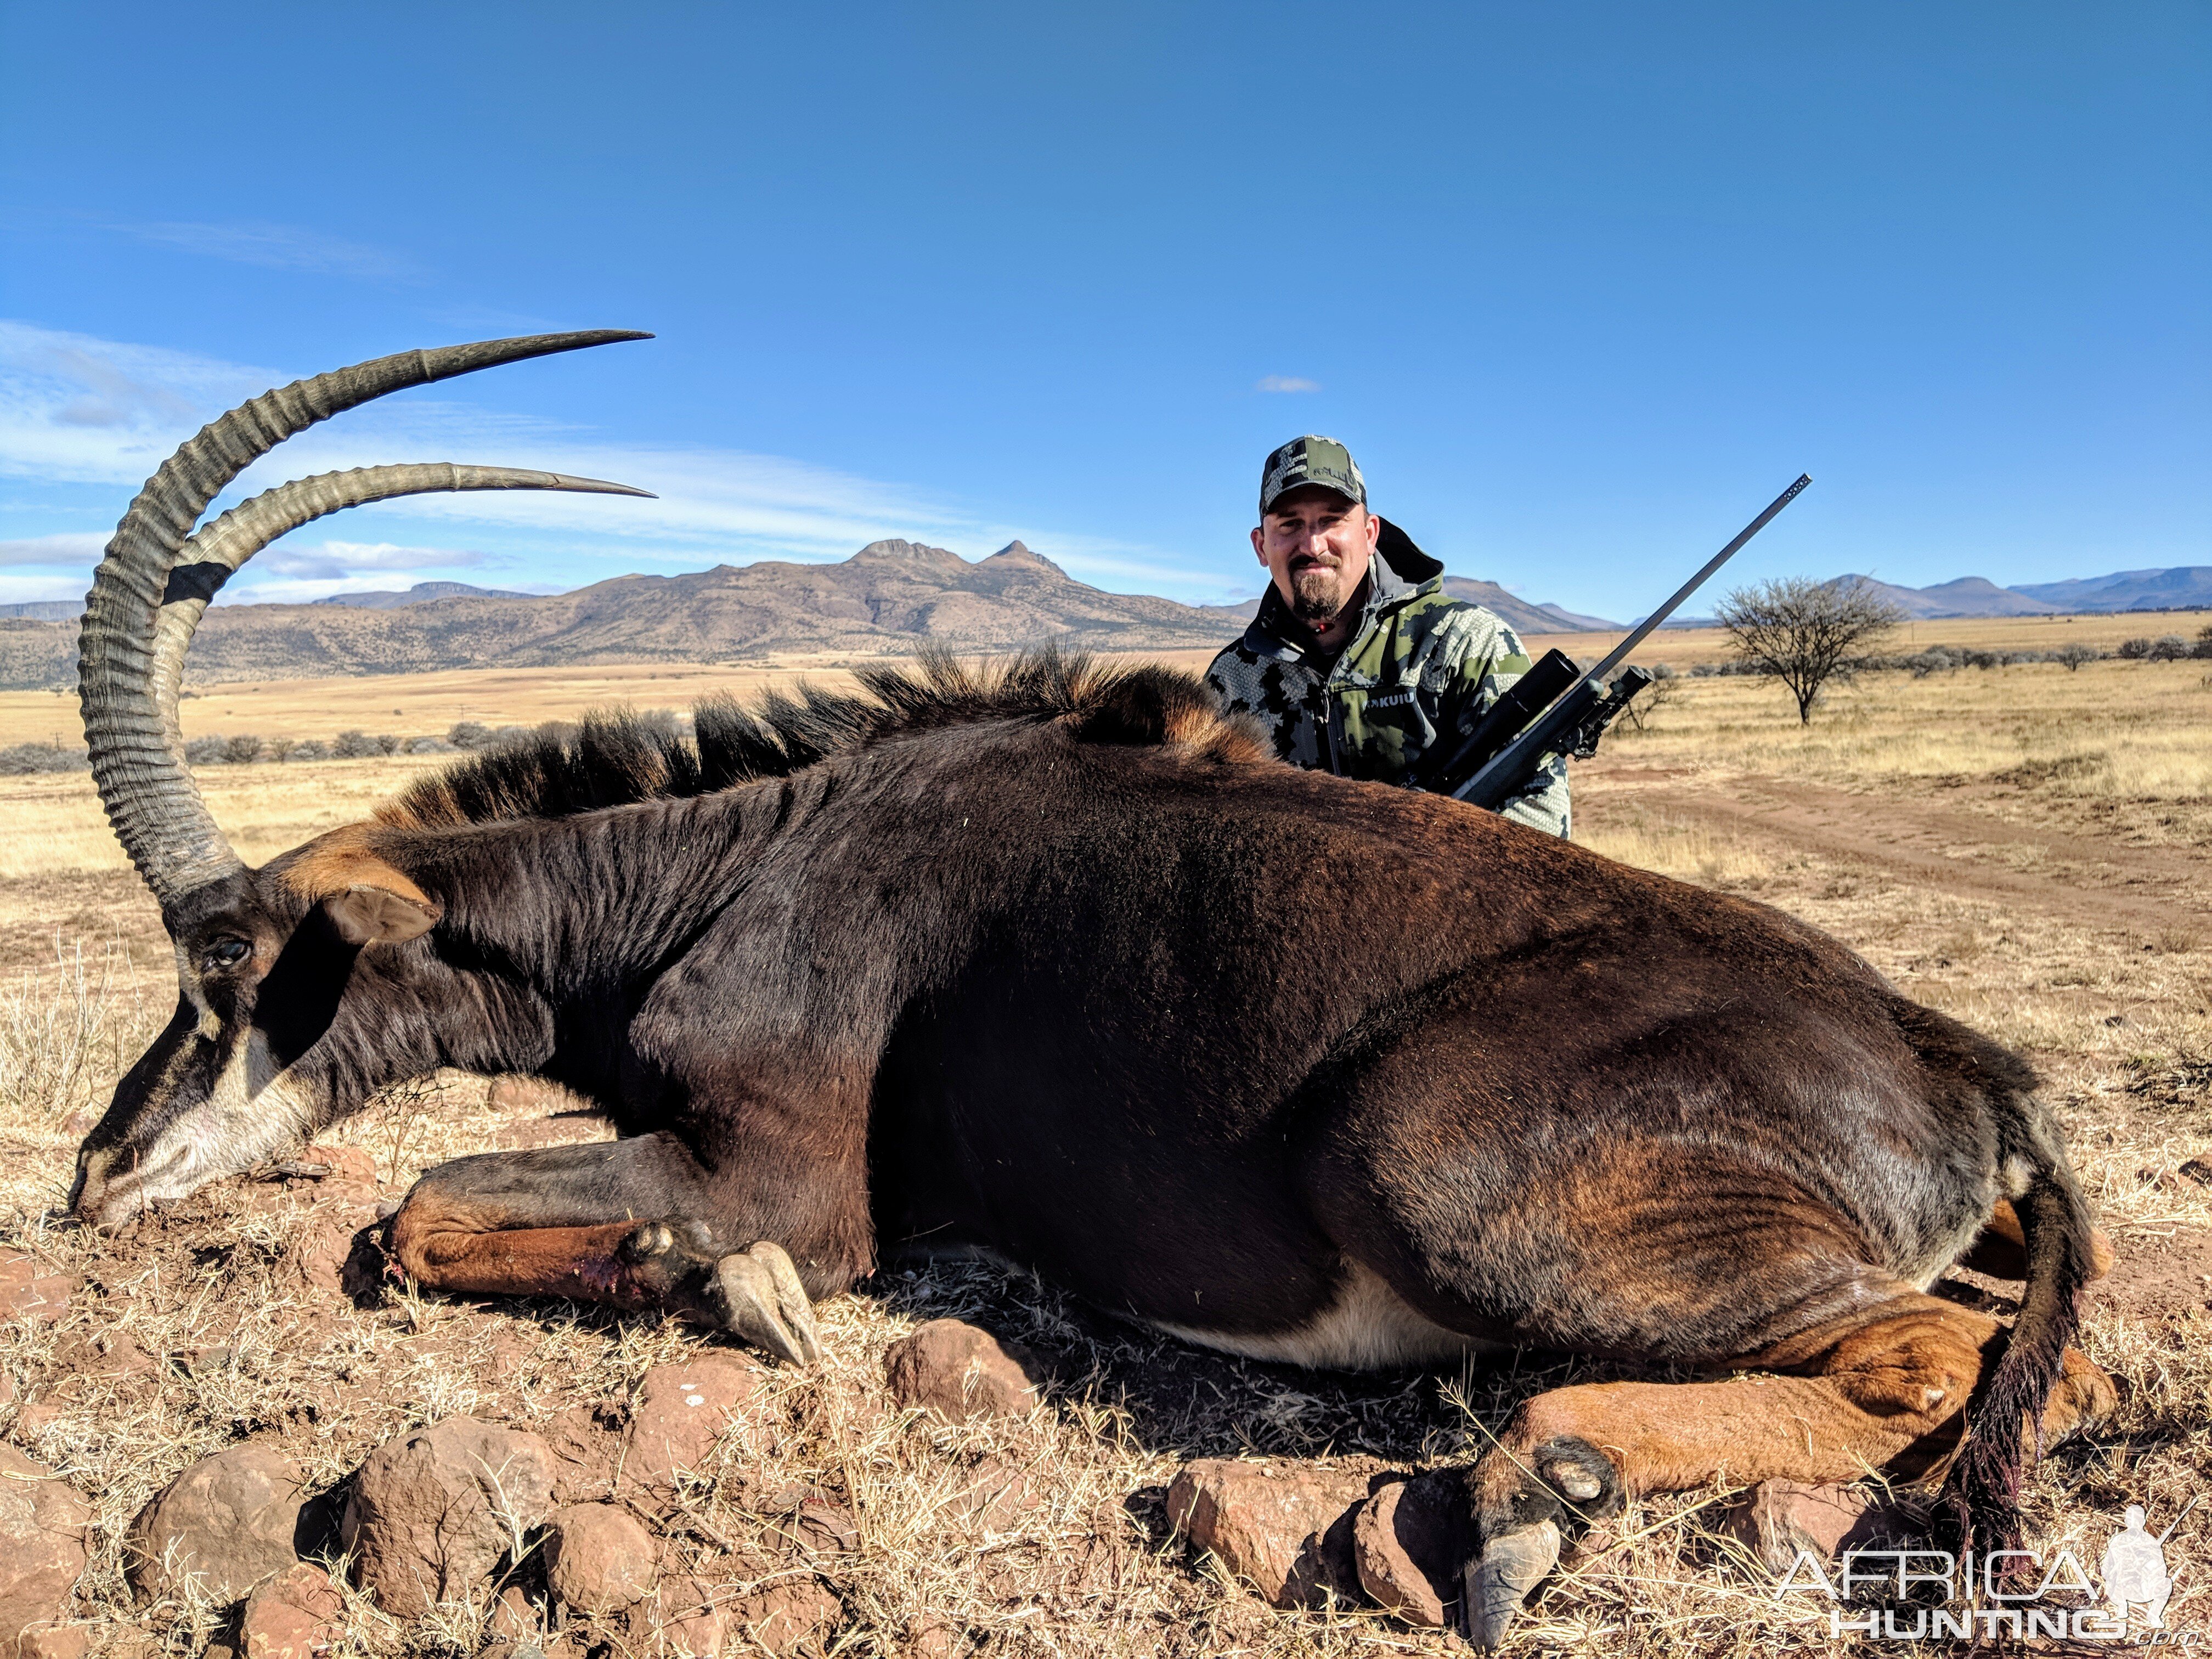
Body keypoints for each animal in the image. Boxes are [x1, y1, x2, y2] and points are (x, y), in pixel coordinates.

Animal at [64, 331, 2106, 1645]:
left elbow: (418, 1210)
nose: (97, 1173)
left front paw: (749, 1308)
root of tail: (1956, 1062)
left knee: (1912, 1352)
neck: (735, 861)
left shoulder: (788, 1178)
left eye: (229, 960)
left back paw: (1541, 1483)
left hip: (1422, 1160)